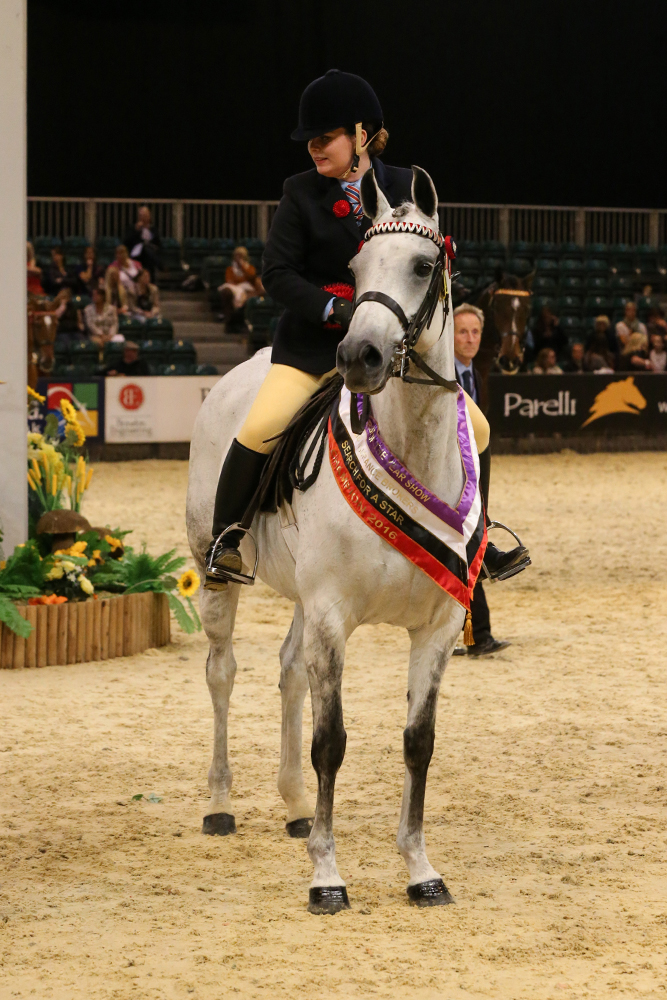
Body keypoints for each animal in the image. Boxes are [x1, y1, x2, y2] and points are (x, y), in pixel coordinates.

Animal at [186, 166, 480, 913]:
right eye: (352, 269)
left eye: (423, 264)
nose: (358, 355)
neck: (412, 447)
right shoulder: (331, 615)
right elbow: (332, 742)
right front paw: (326, 876)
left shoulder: (437, 625)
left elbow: (418, 742)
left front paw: (420, 868)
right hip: (218, 573)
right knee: (223, 673)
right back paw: (221, 804)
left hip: (300, 598)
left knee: (289, 672)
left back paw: (293, 808)